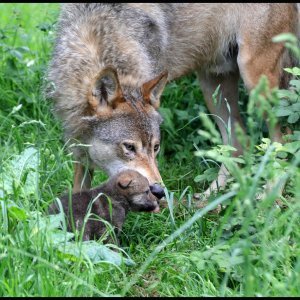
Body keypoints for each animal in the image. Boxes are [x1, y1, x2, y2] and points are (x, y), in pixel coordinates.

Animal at [45, 4, 298, 197]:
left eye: (156, 147)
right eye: (129, 147)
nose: (158, 191)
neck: (100, 34)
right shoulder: (77, 138)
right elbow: (79, 191)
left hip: (254, 78)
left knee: (282, 139)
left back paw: (269, 196)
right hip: (212, 83)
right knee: (238, 143)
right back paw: (208, 200)